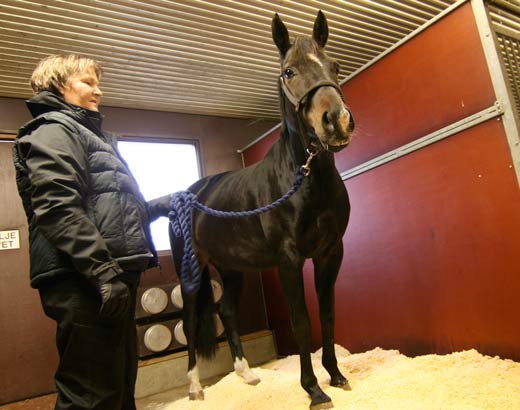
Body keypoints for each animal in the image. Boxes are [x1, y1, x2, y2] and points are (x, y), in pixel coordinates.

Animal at [169, 10, 356, 410]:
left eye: (334, 65)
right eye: (289, 72)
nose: (337, 121)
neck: (305, 178)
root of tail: (189, 195)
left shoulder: (330, 253)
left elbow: (329, 314)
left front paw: (336, 375)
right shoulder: (289, 259)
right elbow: (301, 321)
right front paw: (313, 390)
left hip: (231, 268)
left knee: (226, 311)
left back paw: (247, 374)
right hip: (189, 272)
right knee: (190, 321)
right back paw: (194, 388)